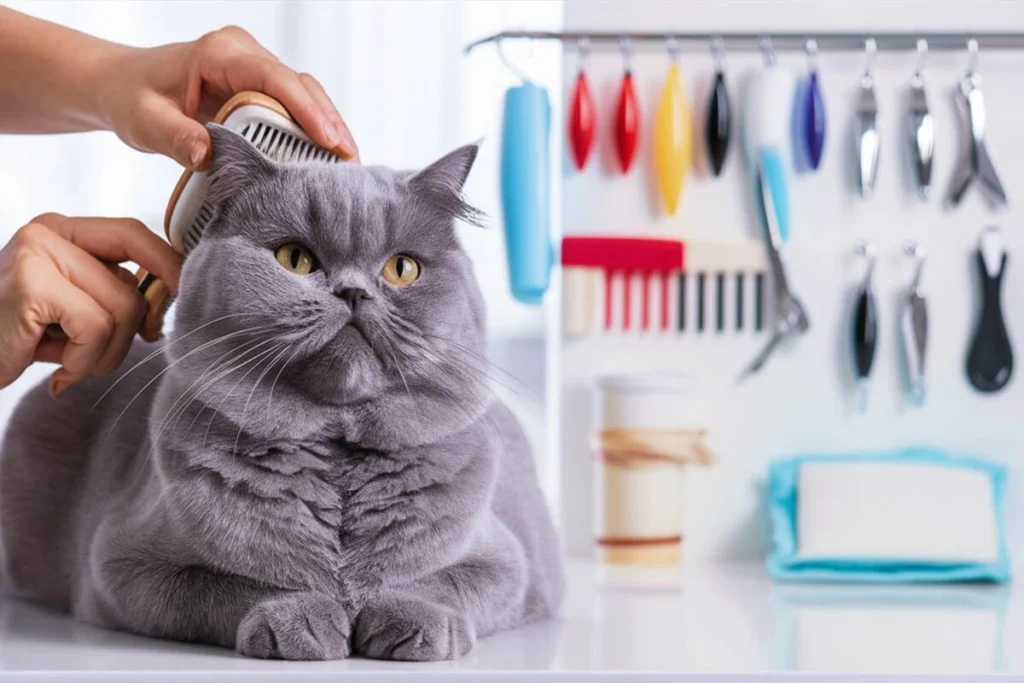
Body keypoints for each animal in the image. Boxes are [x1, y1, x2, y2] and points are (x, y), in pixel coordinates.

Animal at [0, 124, 565, 663]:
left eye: (402, 269)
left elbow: (441, 581)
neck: (337, 453)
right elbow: (225, 585)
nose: (353, 291)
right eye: (295, 259)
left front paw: (410, 621)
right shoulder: (124, 566)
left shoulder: (513, 564)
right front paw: (302, 620)